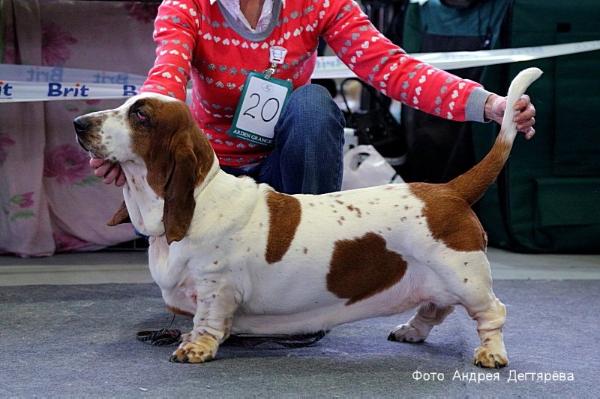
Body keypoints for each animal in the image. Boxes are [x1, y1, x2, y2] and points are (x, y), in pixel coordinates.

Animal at [75, 68, 544, 366]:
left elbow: (208, 322)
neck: (198, 199)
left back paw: (491, 354)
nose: (79, 123)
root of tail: (449, 189)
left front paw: (195, 349)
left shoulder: (215, 287)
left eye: (141, 115)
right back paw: (410, 330)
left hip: (466, 278)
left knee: (492, 313)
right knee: (434, 309)